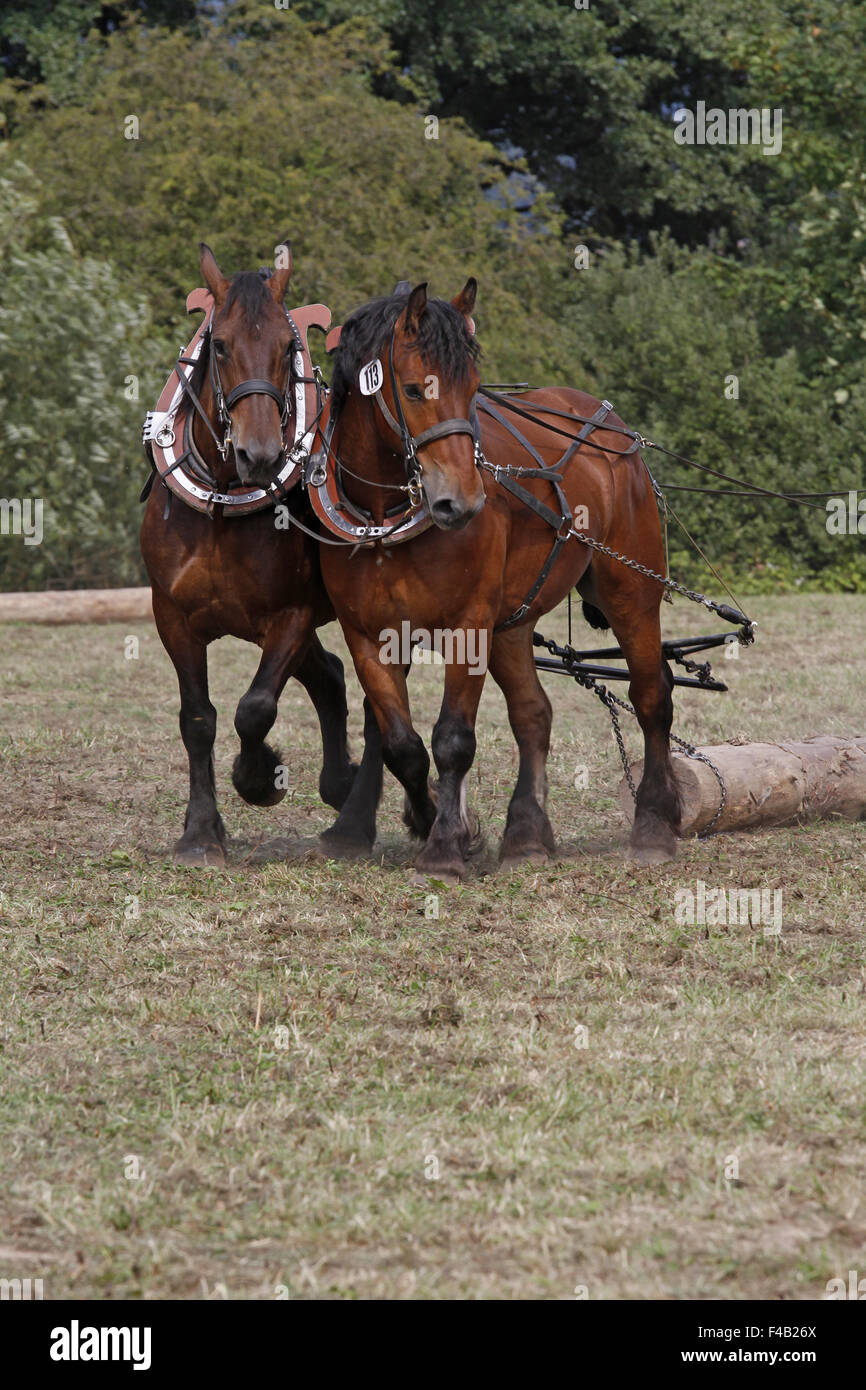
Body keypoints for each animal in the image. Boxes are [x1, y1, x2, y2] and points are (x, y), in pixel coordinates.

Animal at [138, 244, 366, 861]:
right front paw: (200, 832)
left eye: (288, 347)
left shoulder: (291, 617)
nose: (259, 455)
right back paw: (341, 785)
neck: (222, 500)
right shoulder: (172, 617)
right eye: (218, 344)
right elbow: (198, 718)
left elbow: (256, 707)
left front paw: (259, 778)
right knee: (330, 676)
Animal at [315, 279, 681, 878]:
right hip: (513, 622)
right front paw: (439, 824)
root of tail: (612, 427)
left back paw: (654, 823)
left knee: (652, 696)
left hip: (630, 592)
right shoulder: (367, 634)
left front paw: (444, 848)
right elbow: (401, 745)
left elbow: (452, 740)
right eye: (413, 390)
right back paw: (527, 835)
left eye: (472, 391)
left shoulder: (470, 625)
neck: (387, 515)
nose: (461, 502)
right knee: (533, 714)